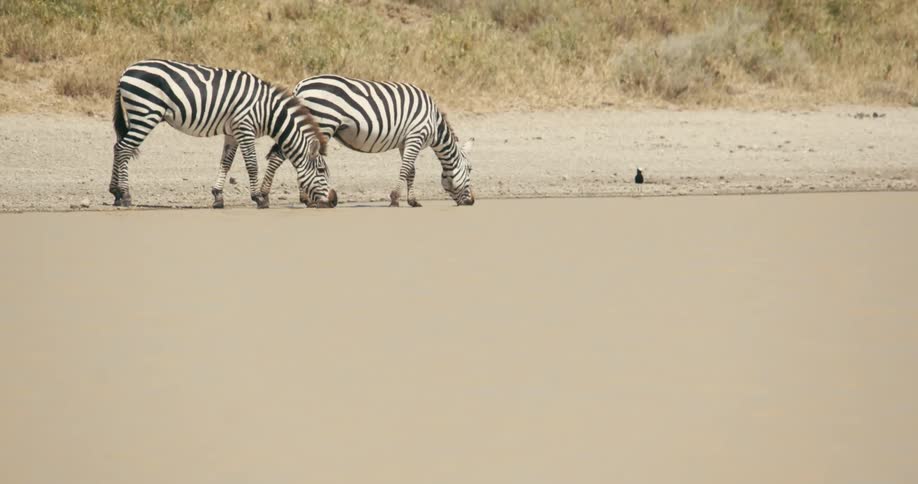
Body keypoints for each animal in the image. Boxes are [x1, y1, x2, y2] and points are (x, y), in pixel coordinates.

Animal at [111, 59, 337, 209]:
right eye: (322, 171)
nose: (334, 201)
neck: (268, 112)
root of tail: (126, 71)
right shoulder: (245, 128)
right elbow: (252, 164)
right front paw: (258, 198)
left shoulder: (233, 132)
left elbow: (226, 163)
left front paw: (218, 196)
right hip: (146, 114)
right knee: (124, 148)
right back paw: (126, 195)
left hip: (139, 115)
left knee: (117, 146)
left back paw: (115, 193)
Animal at [257, 75, 474, 208]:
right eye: (470, 169)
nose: (472, 201)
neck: (434, 123)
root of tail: (301, 85)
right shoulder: (416, 135)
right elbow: (405, 169)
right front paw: (395, 199)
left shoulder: (406, 141)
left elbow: (410, 171)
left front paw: (412, 201)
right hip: (322, 122)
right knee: (281, 157)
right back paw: (267, 196)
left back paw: (304, 198)